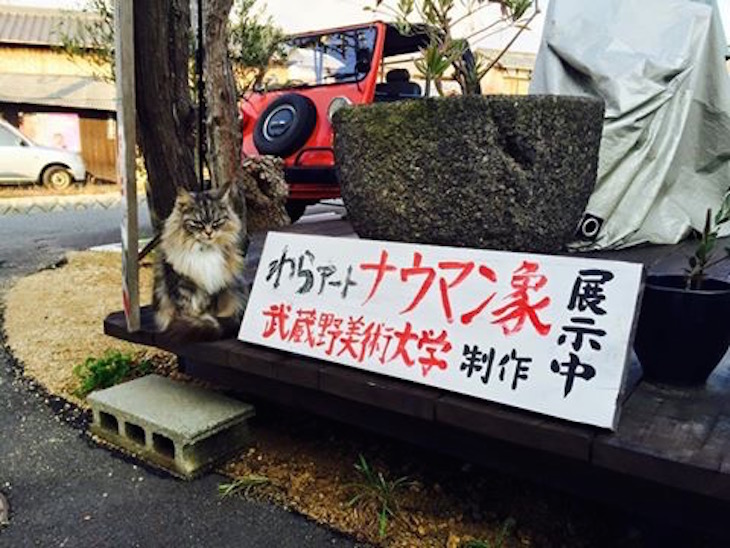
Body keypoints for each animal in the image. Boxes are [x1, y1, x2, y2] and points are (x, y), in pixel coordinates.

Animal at [152, 184, 247, 341]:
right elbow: (186, 311)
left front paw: (196, 324)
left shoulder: (213, 288)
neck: (203, 250)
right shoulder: (181, 286)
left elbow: (207, 312)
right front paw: (187, 323)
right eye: (198, 223)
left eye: (216, 222)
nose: (209, 233)